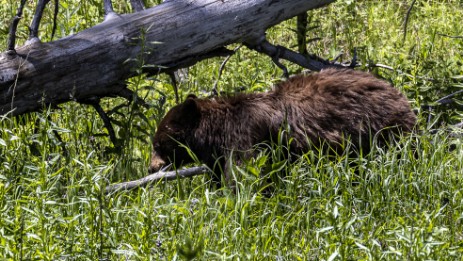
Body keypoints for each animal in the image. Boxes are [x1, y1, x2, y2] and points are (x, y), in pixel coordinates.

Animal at [150, 67, 418, 185]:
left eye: (158, 143)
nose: (152, 166)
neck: (216, 134)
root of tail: (401, 96)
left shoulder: (245, 137)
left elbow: (245, 173)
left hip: (381, 129)